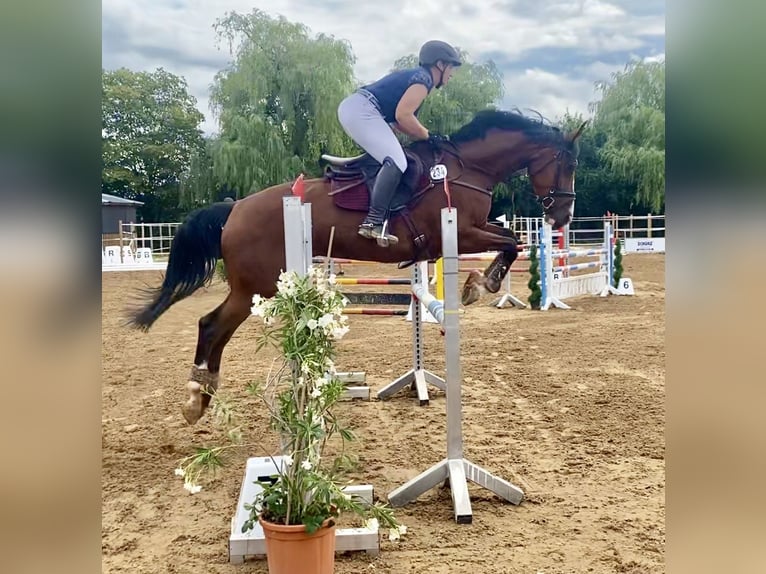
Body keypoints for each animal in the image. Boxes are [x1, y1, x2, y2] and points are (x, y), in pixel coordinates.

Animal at [130, 110, 588, 426]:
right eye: (567, 164)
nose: (562, 216)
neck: (464, 169)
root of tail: (234, 208)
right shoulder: (460, 232)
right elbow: (511, 241)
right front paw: (482, 283)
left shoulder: (472, 230)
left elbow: (510, 237)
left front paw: (479, 282)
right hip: (257, 286)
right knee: (211, 325)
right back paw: (195, 398)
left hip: (258, 286)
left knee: (214, 327)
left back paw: (202, 397)